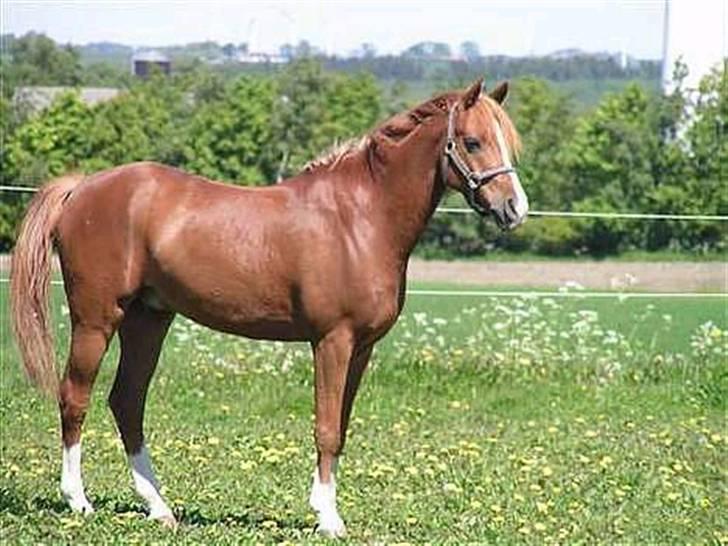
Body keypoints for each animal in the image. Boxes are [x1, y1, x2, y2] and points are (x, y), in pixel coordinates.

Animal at [10, 78, 528, 537]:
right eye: (473, 141)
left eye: (507, 142)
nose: (514, 209)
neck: (359, 219)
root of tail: (82, 187)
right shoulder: (332, 341)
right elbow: (326, 428)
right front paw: (328, 519)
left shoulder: (362, 349)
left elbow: (341, 427)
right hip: (96, 320)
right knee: (75, 397)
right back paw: (79, 501)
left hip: (148, 318)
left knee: (127, 402)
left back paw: (159, 508)